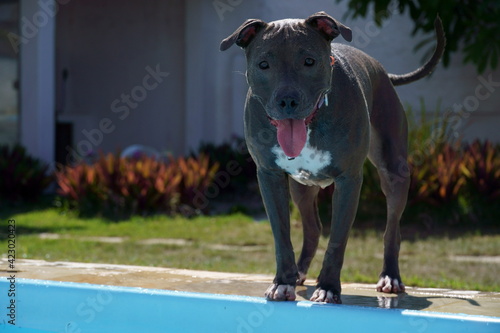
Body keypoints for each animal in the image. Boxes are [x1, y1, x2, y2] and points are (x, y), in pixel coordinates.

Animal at [221, 11, 444, 302]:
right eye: (263, 64)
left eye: (309, 61)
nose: (287, 101)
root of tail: (383, 71)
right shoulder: (269, 176)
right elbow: (282, 235)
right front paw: (282, 282)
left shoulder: (349, 180)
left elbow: (338, 240)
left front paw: (327, 287)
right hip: (301, 188)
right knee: (313, 227)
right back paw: (298, 273)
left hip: (393, 172)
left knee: (391, 230)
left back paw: (390, 277)